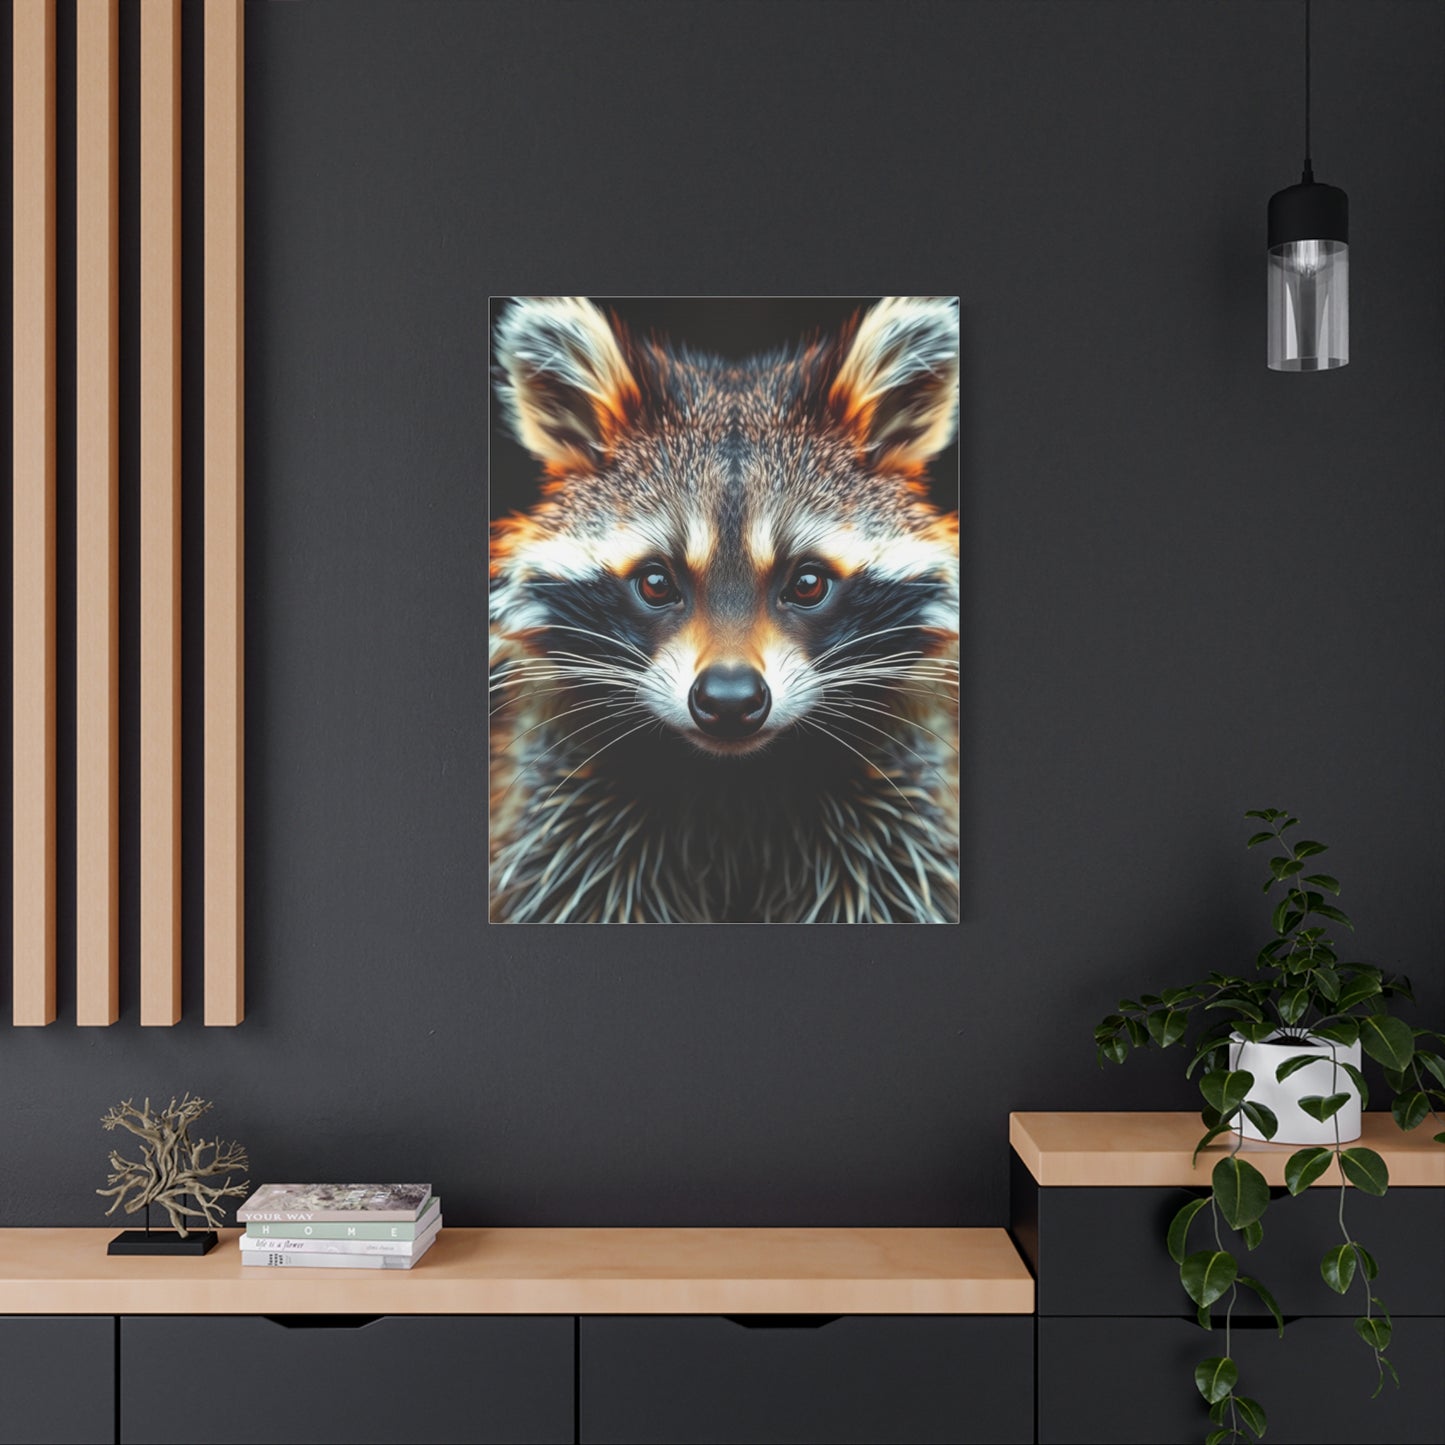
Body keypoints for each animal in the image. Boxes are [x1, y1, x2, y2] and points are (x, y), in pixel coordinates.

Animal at [489, 296, 959, 923]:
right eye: (656, 583)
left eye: (807, 583)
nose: (730, 700)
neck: (734, 789)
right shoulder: (565, 813)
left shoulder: (898, 817)